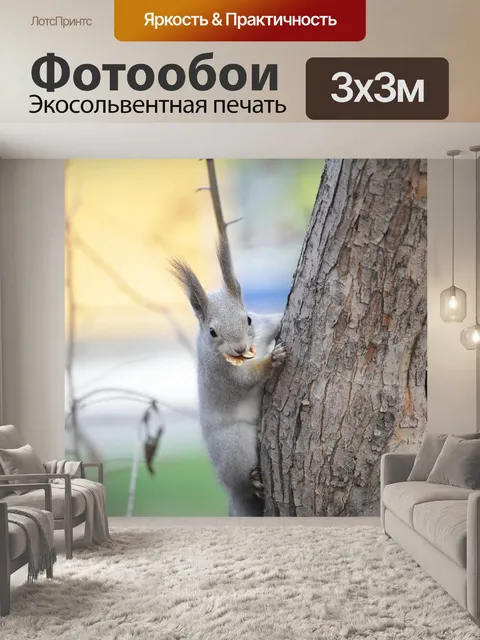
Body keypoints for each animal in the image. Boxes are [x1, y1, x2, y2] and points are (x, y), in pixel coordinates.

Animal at [170, 232, 286, 516]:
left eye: (248, 319)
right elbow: (245, 380)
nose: (239, 348)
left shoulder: (262, 326)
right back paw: (253, 480)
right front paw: (273, 359)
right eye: (213, 332)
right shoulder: (221, 373)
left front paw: (281, 318)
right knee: (242, 480)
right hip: (234, 447)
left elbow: (272, 323)